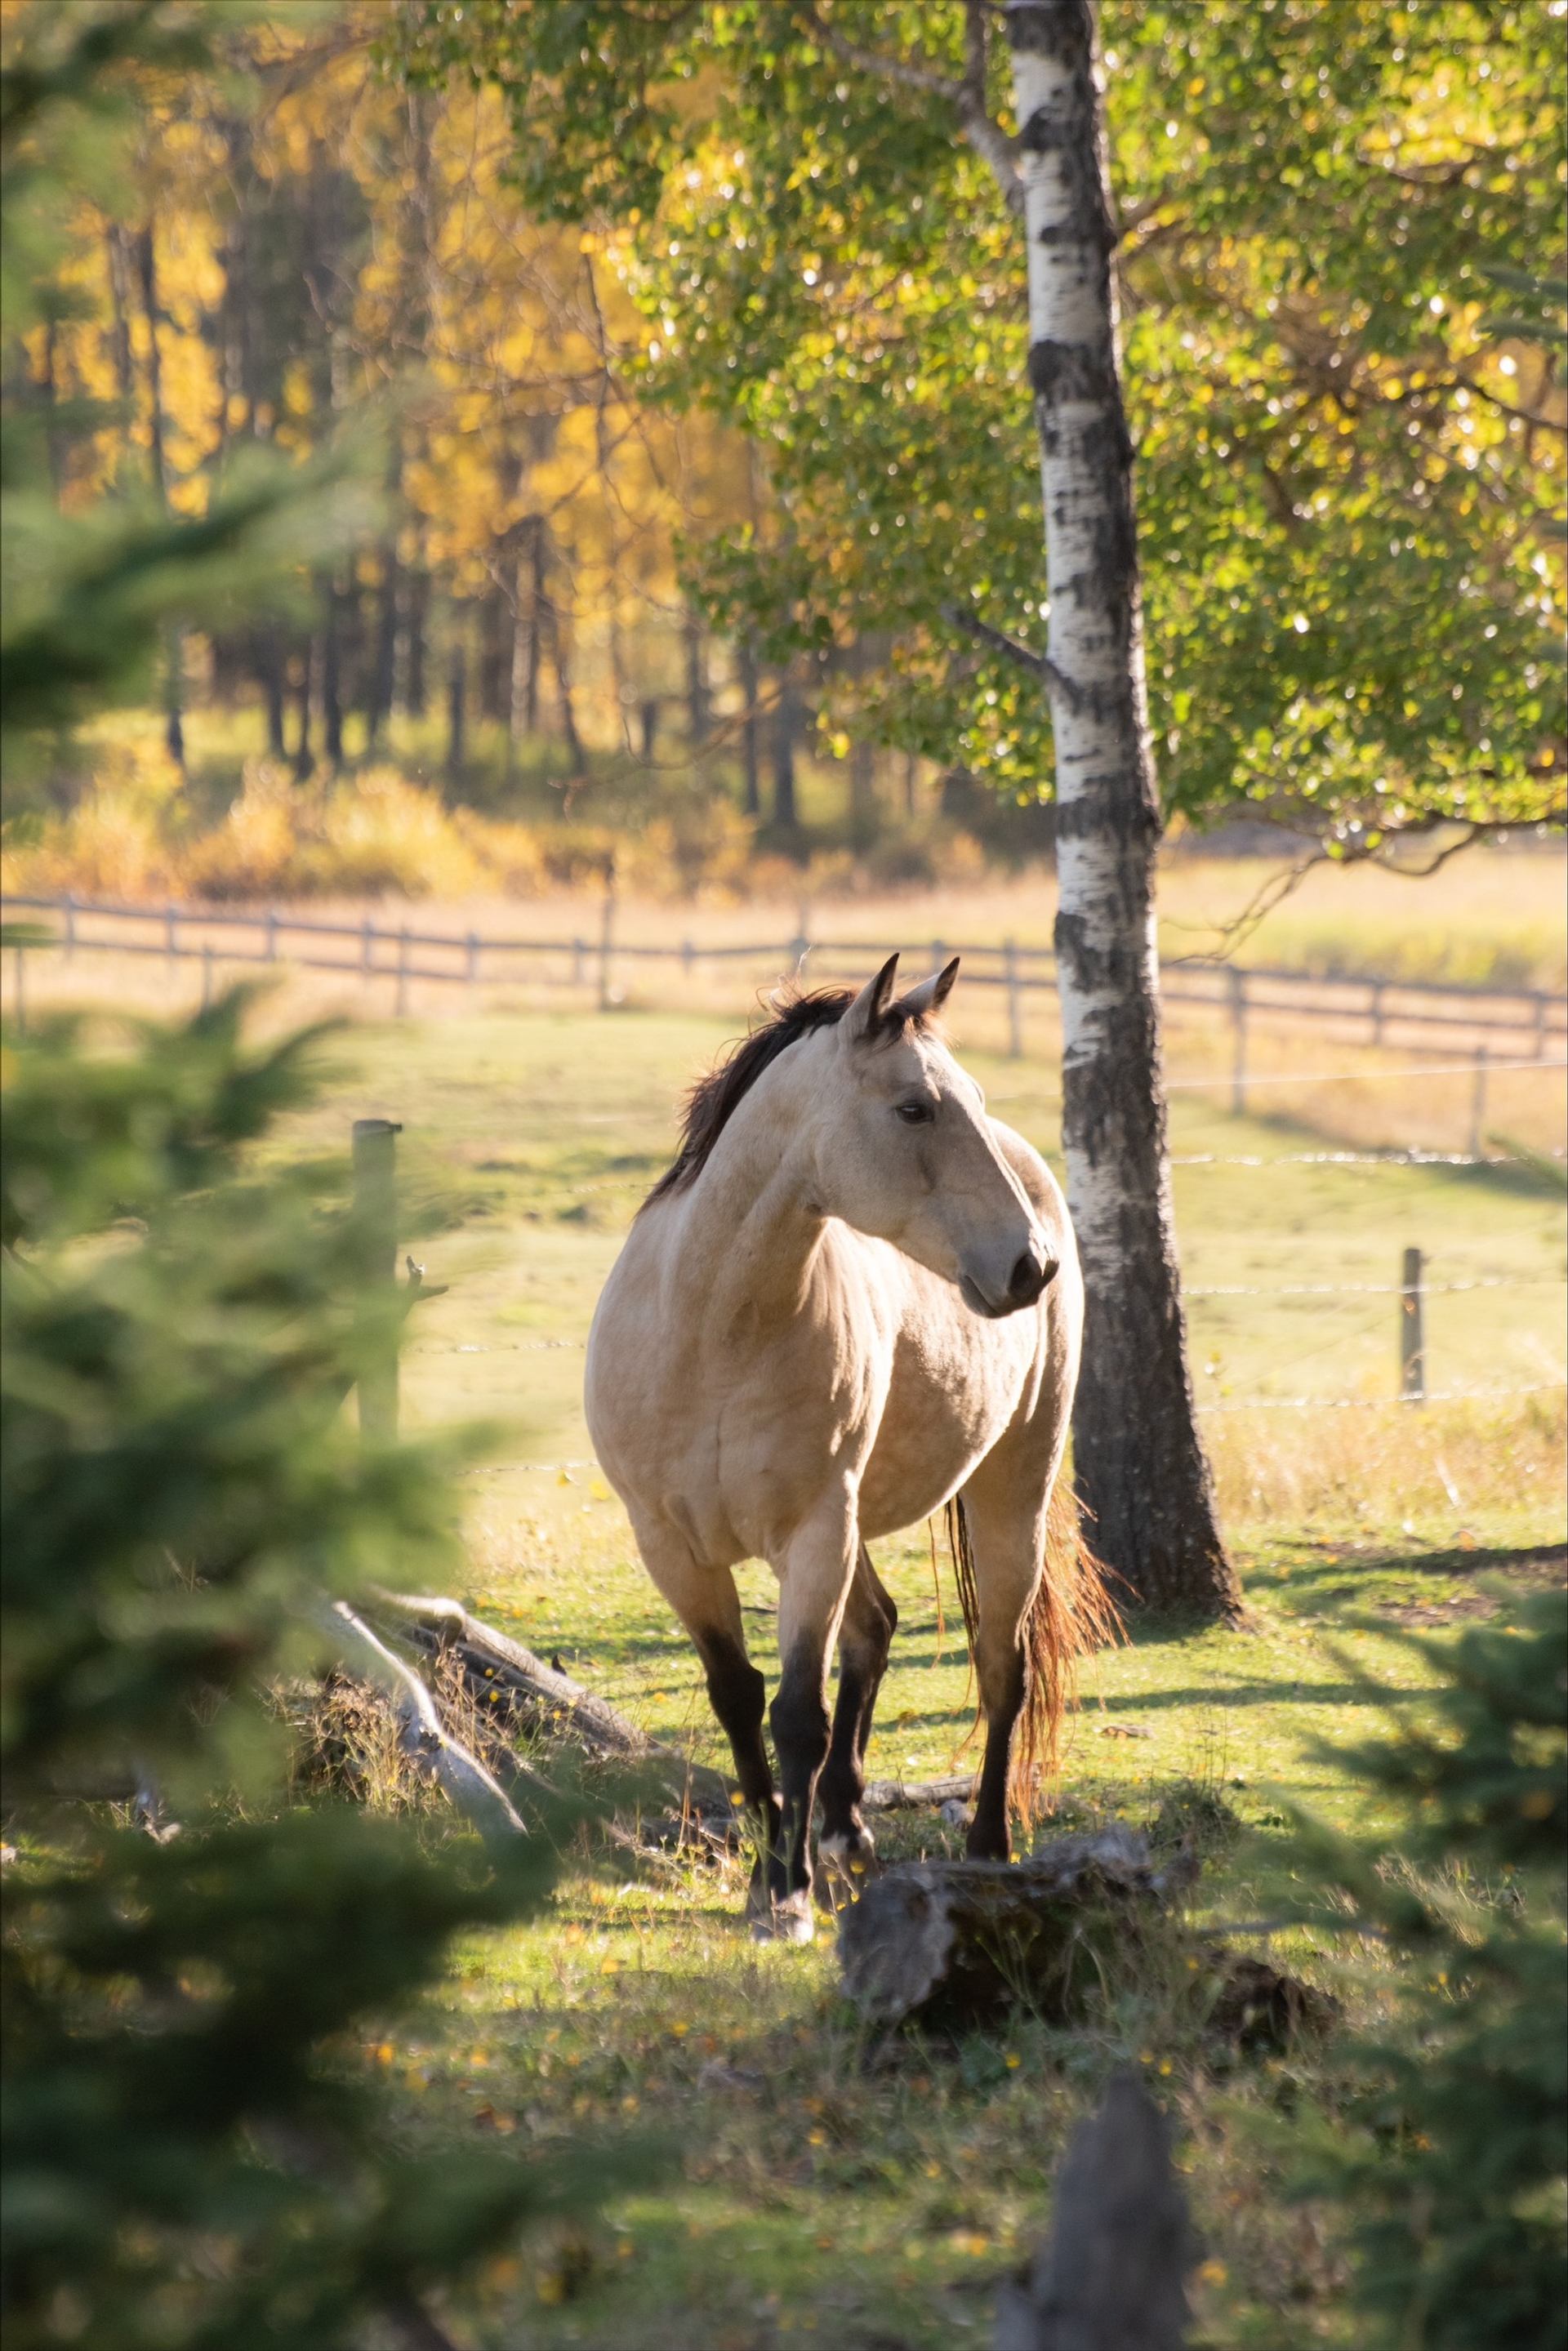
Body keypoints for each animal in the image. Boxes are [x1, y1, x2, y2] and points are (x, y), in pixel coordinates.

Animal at [584, 953, 1111, 1942]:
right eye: (915, 1108)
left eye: (965, 1099)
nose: (1030, 1266)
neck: (713, 1332)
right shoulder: (672, 1548)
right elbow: (738, 1695)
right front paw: (769, 1872)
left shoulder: (814, 1533)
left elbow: (800, 1711)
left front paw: (787, 1896)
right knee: (876, 1626)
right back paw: (843, 1828)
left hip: (1010, 1492)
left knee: (1002, 1669)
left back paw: (985, 1847)